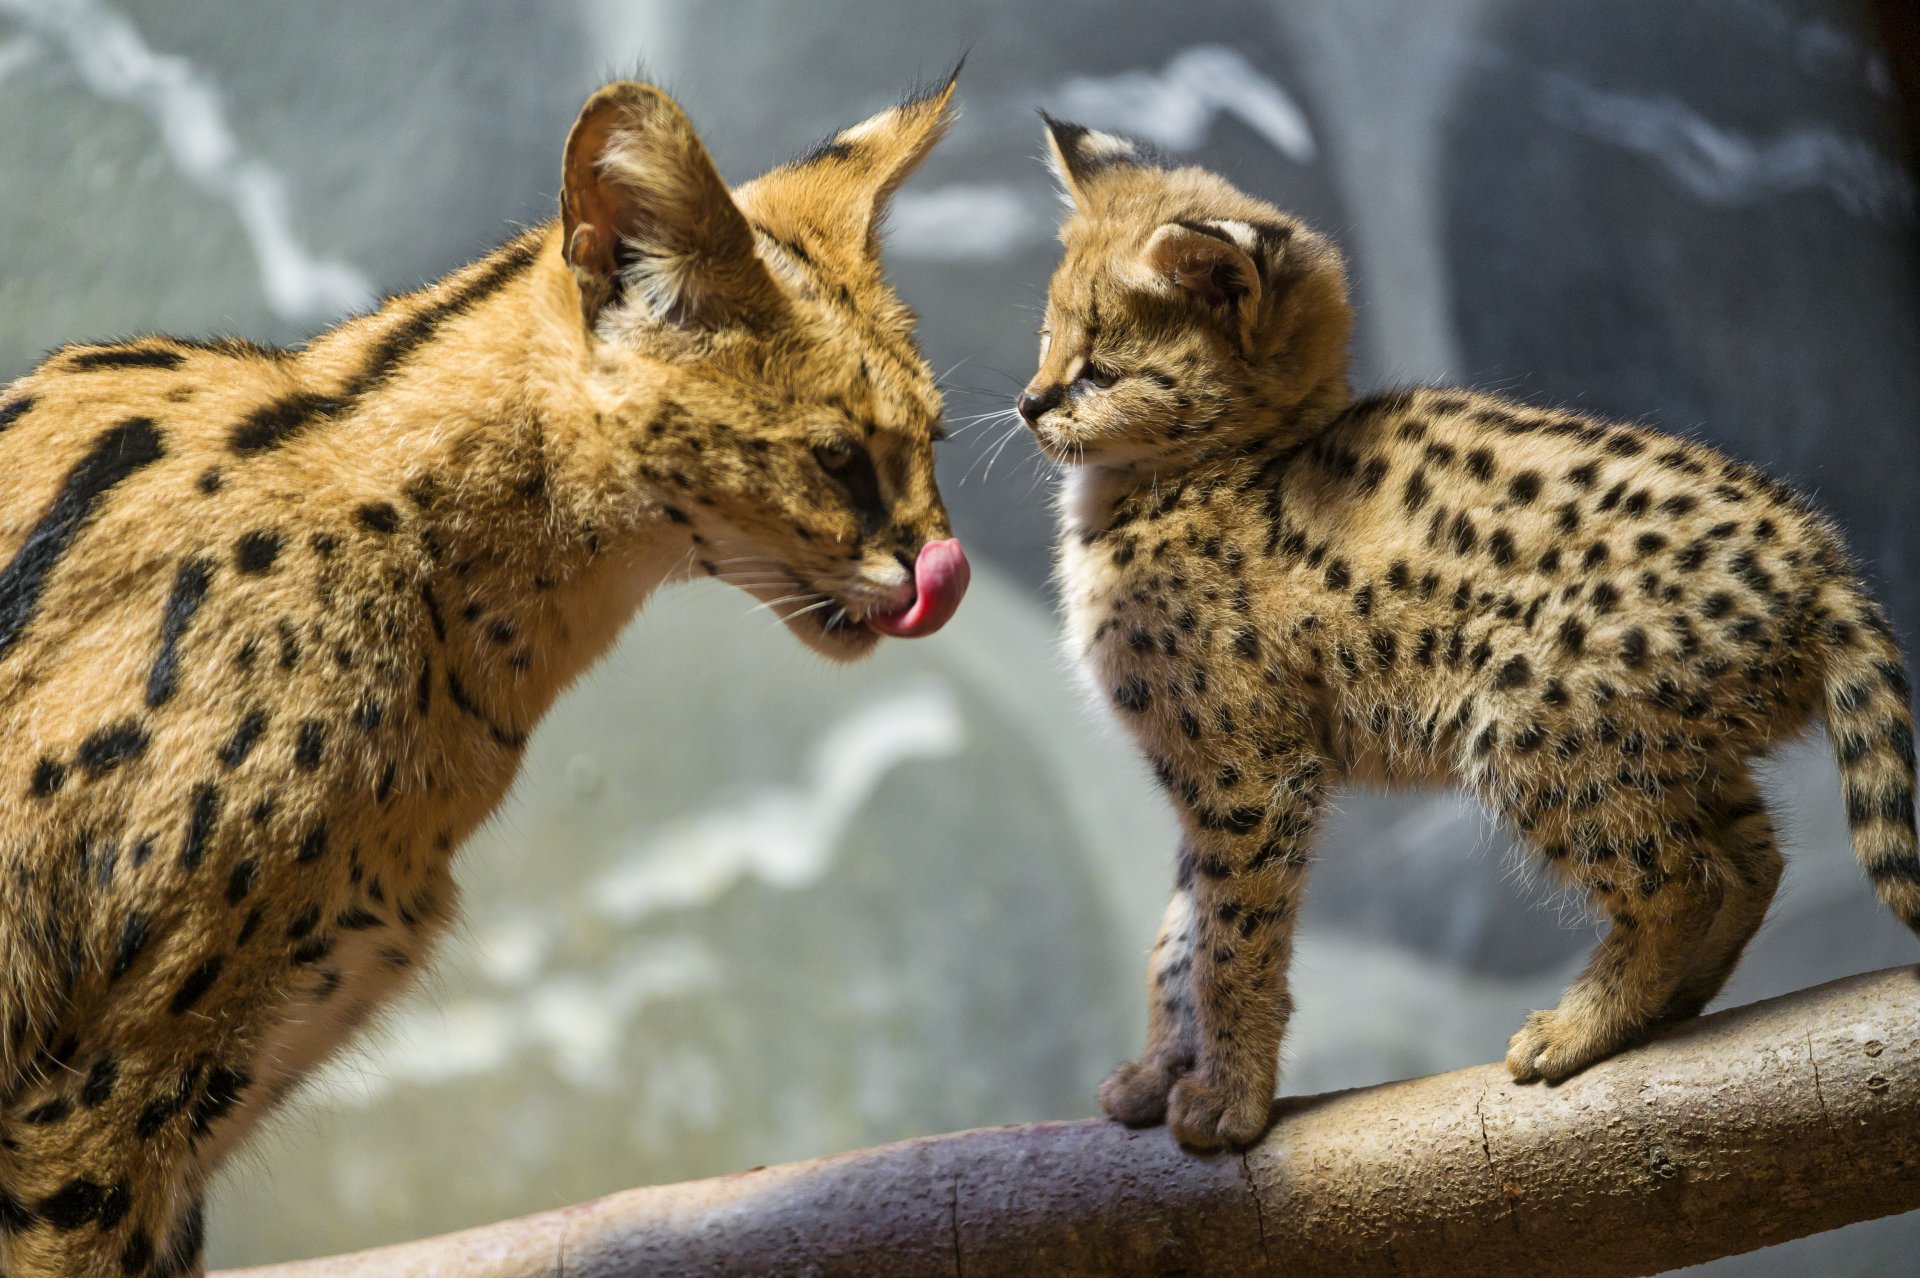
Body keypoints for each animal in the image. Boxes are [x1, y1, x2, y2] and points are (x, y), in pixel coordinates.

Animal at [1019, 115, 1919, 1152]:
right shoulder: (1206, 772)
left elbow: (1232, 940)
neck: (1198, 476)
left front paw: (1227, 1100)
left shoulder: (1249, 769)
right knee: (1751, 862)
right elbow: (1179, 934)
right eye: (1045, 339)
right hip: (1657, 742)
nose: (1028, 403)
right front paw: (1160, 1073)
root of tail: (1819, 560)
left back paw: (1579, 1028)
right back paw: (1671, 1007)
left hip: (1534, 720)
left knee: (1684, 882)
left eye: (1100, 370)